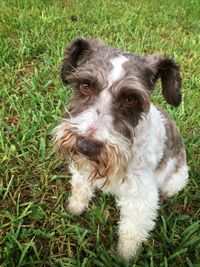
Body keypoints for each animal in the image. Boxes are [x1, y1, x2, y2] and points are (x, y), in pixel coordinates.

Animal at [52, 38, 188, 260]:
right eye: (85, 86)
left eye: (130, 98)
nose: (86, 146)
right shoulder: (83, 170)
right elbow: (81, 187)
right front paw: (75, 207)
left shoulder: (140, 198)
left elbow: (131, 231)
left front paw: (125, 256)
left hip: (176, 179)